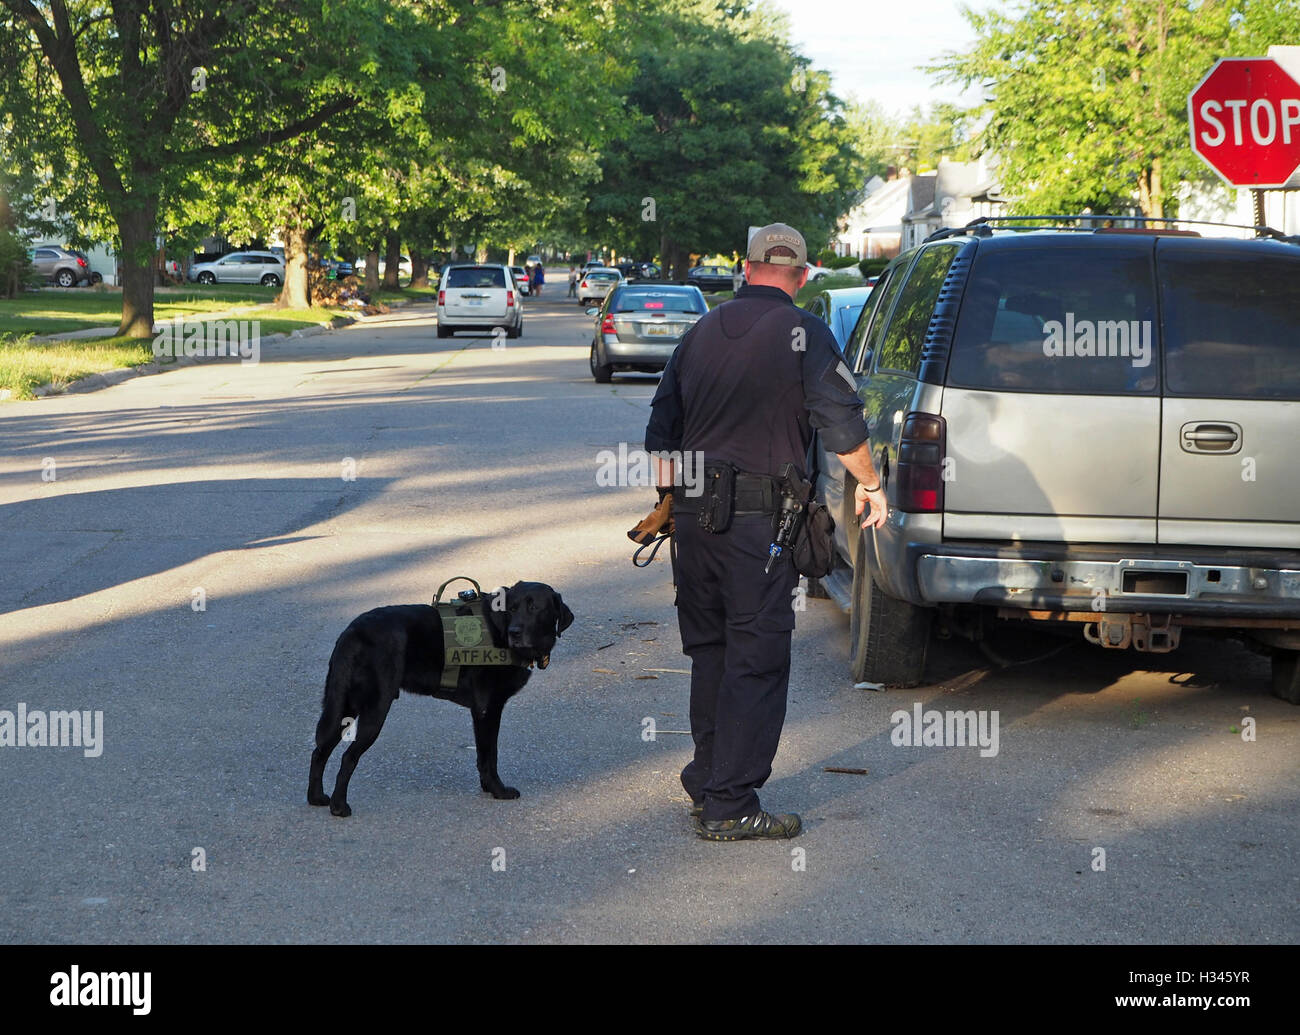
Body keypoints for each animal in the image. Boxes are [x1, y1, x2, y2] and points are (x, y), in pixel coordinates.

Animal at [306, 582, 572, 816]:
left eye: (534, 608)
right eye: (512, 608)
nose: (514, 633)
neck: (499, 630)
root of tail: (353, 631)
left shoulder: (480, 712)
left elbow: (482, 756)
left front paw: (487, 787)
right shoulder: (489, 708)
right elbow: (490, 756)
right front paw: (498, 791)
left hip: (344, 705)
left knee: (320, 750)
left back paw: (316, 797)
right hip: (375, 708)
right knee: (347, 757)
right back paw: (339, 807)